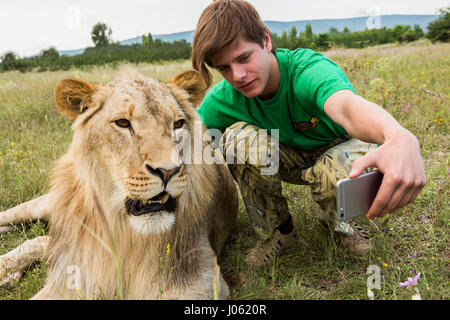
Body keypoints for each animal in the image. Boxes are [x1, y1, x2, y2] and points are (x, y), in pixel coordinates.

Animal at [0, 68, 239, 300]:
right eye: (123, 123)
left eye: (178, 124)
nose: (168, 171)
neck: (125, 234)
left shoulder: (202, 280)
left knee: (43, 240)